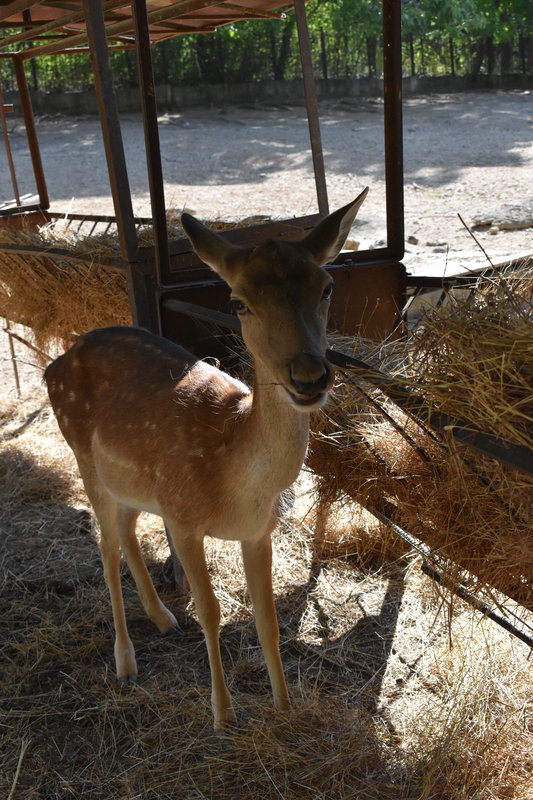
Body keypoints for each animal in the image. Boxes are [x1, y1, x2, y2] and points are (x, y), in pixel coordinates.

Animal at [44, 187, 368, 730]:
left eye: (327, 287)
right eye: (237, 302)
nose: (309, 377)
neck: (236, 478)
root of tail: (55, 363)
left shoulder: (257, 531)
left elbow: (267, 618)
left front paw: (283, 708)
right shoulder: (184, 519)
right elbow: (212, 611)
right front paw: (223, 715)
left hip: (134, 485)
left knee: (127, 531)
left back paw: (162, 617)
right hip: (85, 462)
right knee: (105, 550)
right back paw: (125, 660)